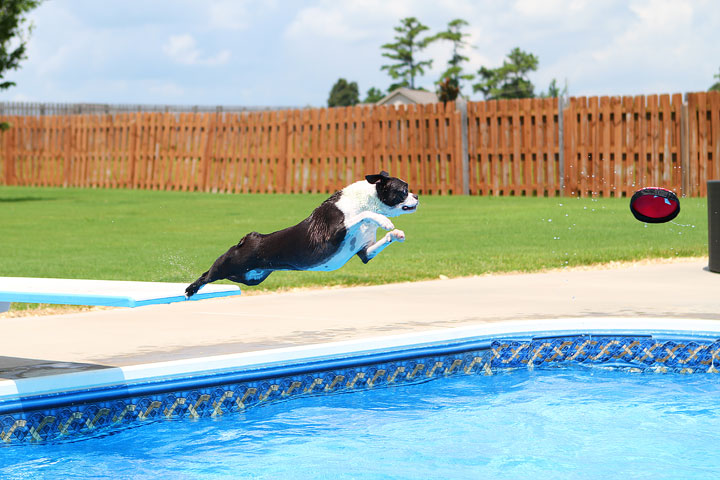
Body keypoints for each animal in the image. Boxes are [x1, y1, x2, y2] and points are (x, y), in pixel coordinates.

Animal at [186, 169, 420, 296]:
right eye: (403, 190)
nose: (417, 196)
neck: (366, 199)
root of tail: (250, 237)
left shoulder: (365, 252)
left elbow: (381, 239)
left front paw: (396, 233)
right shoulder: (333, 234)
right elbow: (365, 214)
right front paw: (384, 221)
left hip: (249, 277)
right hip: (228, 264)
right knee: (207, 274)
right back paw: (191, 290)